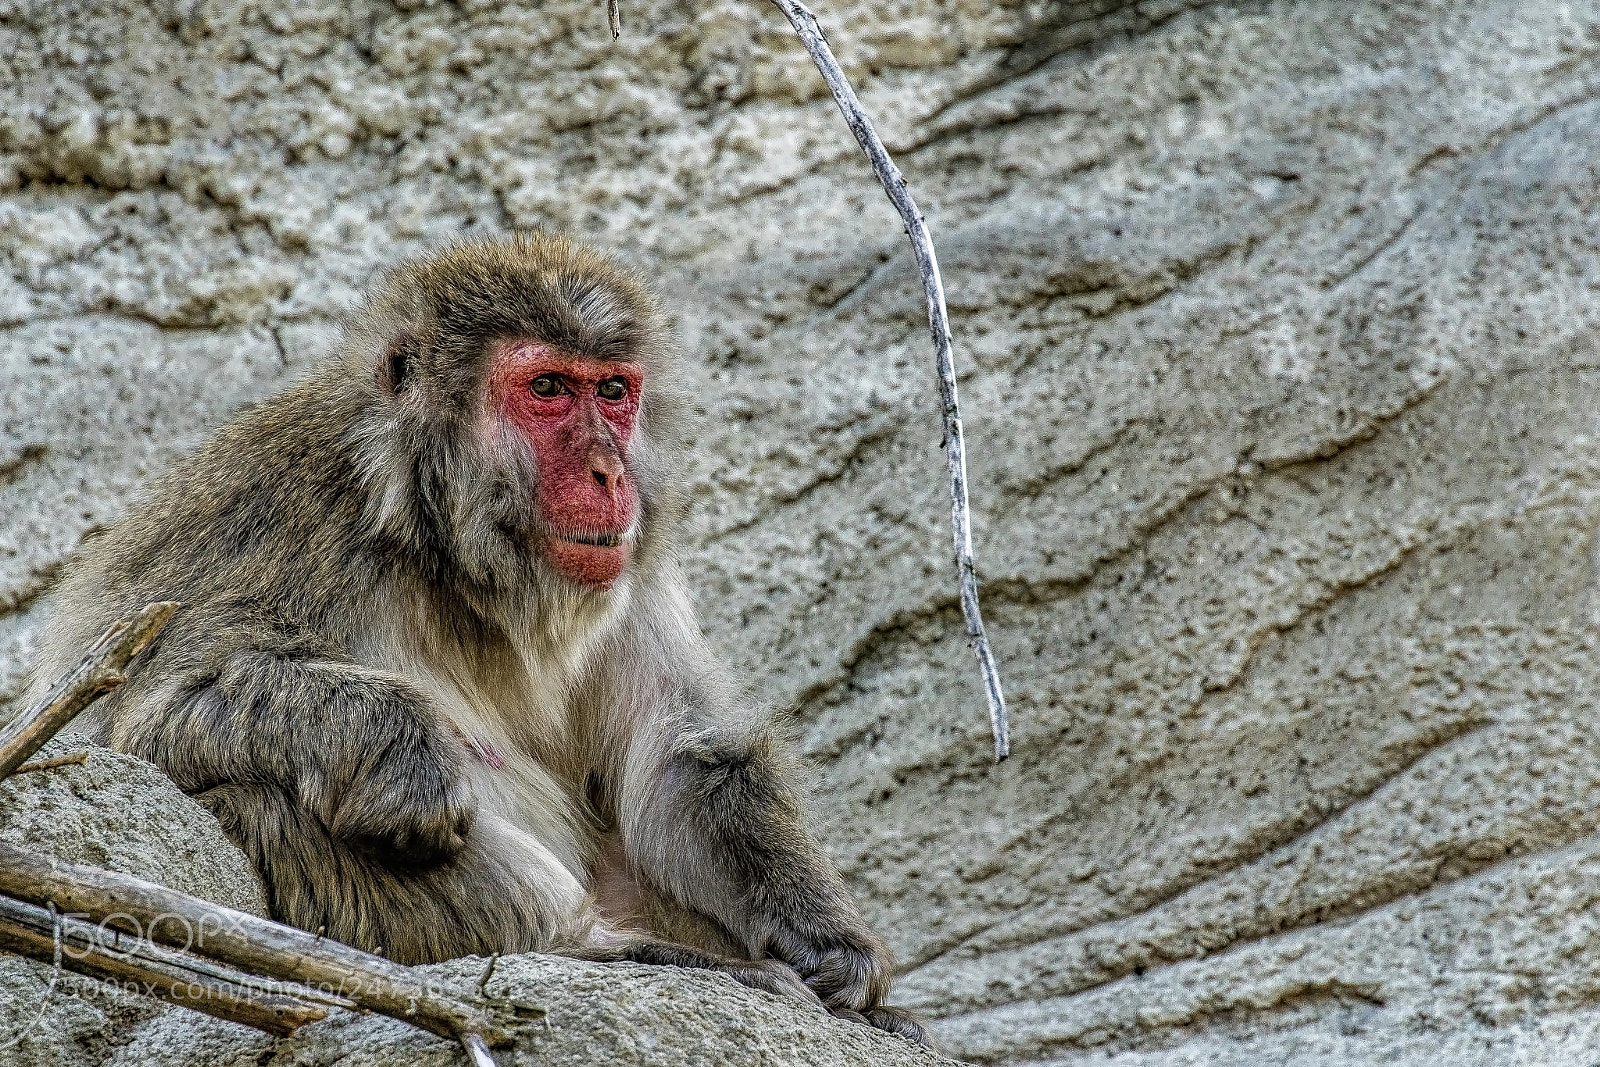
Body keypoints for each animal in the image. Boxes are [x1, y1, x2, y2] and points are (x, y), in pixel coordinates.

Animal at [26, 235, 925, 1043]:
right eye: (548, 388)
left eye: (614, 390)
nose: (611, 472)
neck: (448, 554)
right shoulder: (293, 525)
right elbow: (151, 718)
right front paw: (405, 753)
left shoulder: (630, 562)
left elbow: (683, 750)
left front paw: (825, 939)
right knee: (260, 795)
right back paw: (606, 950)